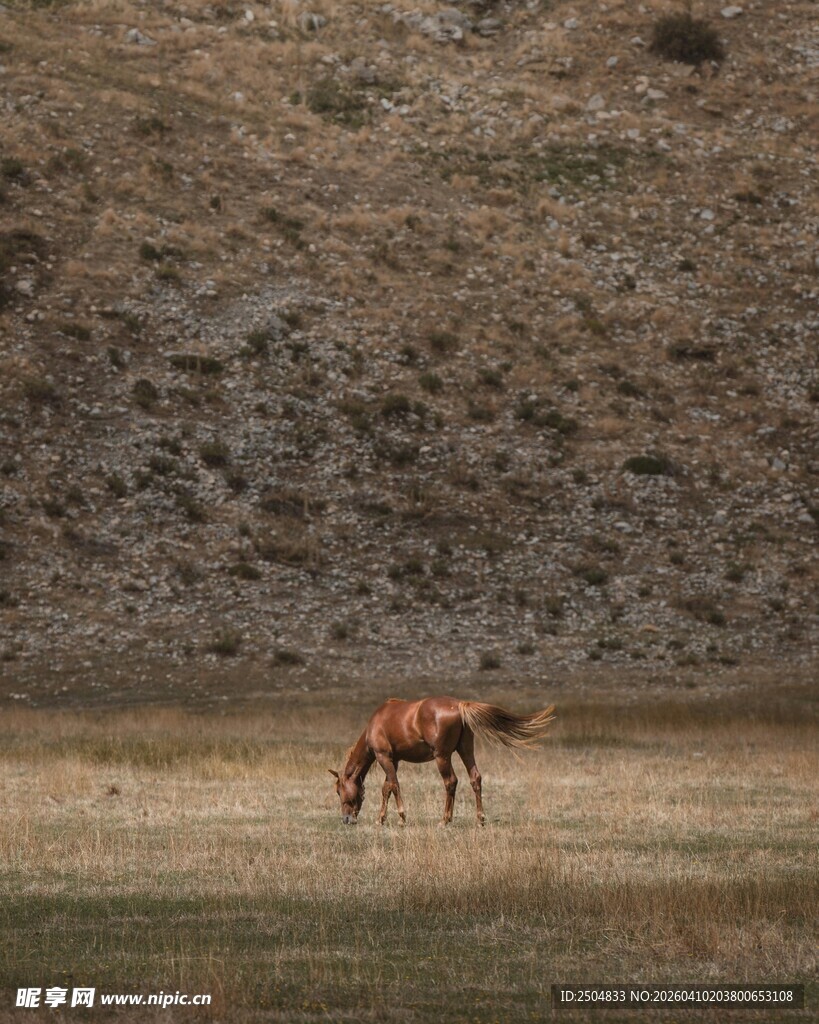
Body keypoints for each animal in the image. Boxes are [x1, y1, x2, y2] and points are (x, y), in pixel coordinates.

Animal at [329, 696, 556, 826]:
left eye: (339, 791)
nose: (346, 819)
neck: (375, 724)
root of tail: (459, 705)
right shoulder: (395, 760)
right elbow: (387, 788)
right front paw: (380, 819)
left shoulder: (384, 757)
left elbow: (394, 785)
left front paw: (401, 817)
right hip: (465, 751)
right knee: (475, 778)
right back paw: (479, 818)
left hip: (442, 757)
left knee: (451, 782)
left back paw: (444, 820)